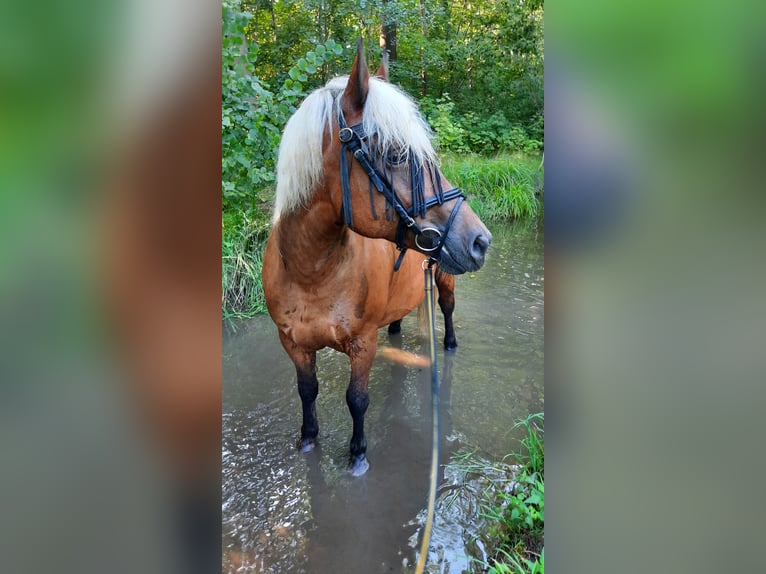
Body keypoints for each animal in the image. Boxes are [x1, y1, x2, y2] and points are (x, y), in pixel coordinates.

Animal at [262, 39, 492, 476]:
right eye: (397, 155)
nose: (481, 241)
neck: (311, 271)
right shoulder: (292, 343)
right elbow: (307, 391)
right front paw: (308, 440)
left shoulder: (362, 343)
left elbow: (357, 400)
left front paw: (358, 457)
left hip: (445, 281)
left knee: (447, 310)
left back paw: (450, 344)